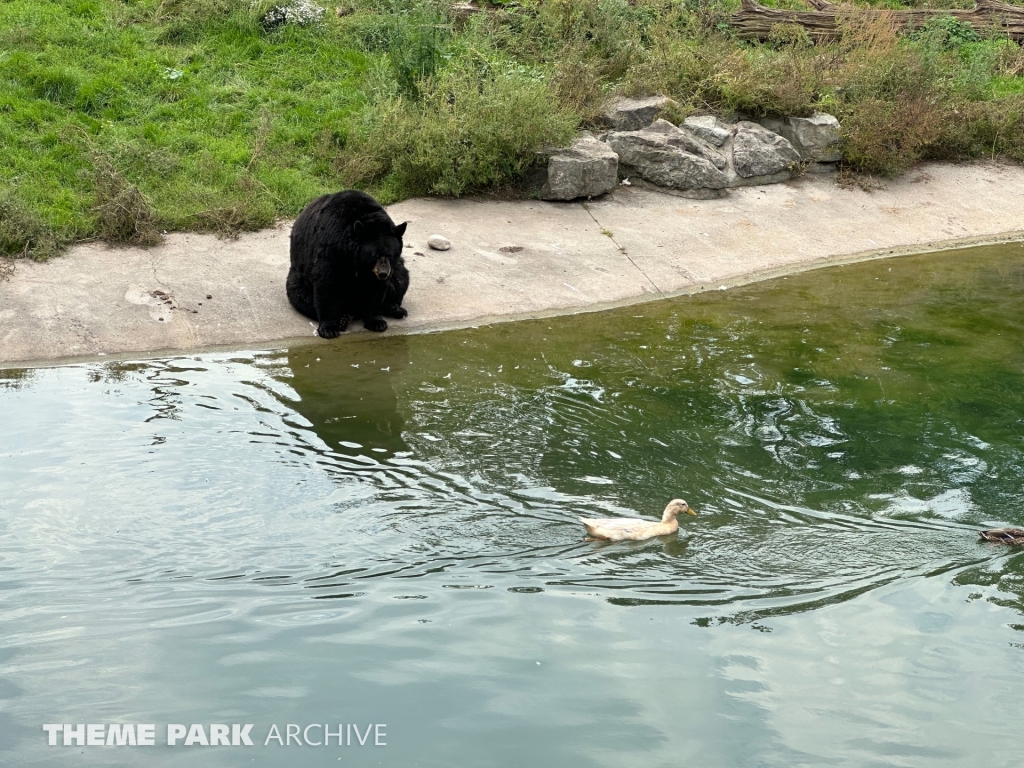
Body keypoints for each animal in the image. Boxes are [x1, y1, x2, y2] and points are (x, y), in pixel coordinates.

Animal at [286, 191, 409, 337]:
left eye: (390, 255)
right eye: (375, 255)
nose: (383, 273)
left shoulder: (377, 270)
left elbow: (376, 289)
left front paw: (376, 321)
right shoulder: (331, 248)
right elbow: (326, 282)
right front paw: (329, 328)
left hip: (396, 270)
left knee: (400, 278)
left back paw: (395, 309)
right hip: (298, 279)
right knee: (301, 297)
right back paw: (343, 319)